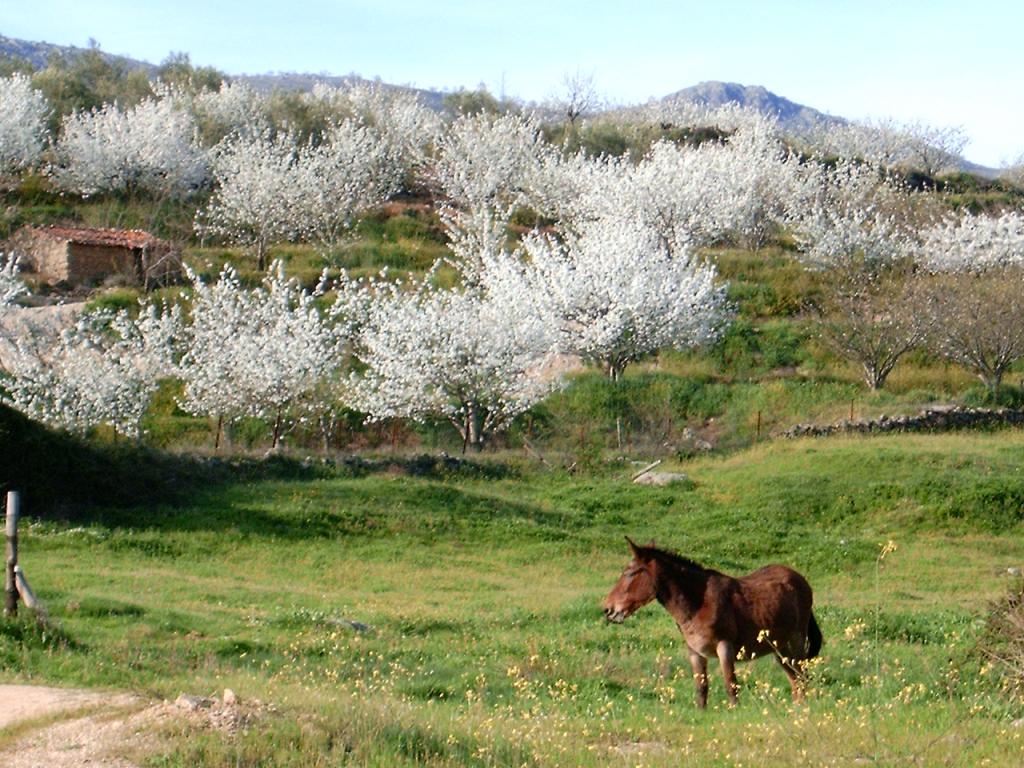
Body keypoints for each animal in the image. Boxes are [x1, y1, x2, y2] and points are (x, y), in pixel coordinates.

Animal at [602, 536, 819, 708]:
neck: (698, 604)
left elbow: (731, 685)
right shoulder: (695, 651)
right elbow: (701, 688)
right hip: (779, 647)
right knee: (795, 679)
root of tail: (800, 579)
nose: (608, 609)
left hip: (796, 641)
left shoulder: (725, 646)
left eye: (629, 573)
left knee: (802, 676)